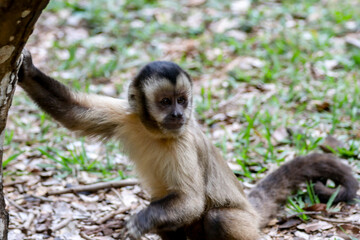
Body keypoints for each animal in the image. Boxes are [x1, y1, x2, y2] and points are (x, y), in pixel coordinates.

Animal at [18, 49, 358, 240]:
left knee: (219, 217)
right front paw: (27, 70)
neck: (156, 132)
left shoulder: (183, 141)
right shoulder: (127, 116)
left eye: (181, 100)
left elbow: (192, 201)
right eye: (165, 102)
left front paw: (140, 220)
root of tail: (251, 208)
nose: (178, 114)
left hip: (245, 220)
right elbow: (73, 113)